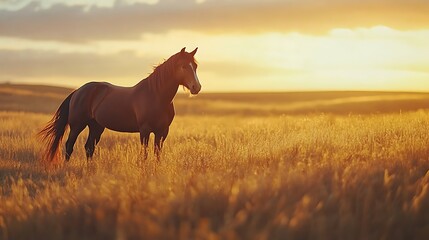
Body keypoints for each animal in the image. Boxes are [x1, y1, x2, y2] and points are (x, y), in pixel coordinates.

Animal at [40, 47, 201, 162]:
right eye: (183, 66)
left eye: (195, 66)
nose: (196, 87)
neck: (156, 96)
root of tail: (78, 91)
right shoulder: (145, 130)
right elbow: (144, 155)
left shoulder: (162, 131)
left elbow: (157, 155)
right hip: (77, 125)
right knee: (69, 146)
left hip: (96, 126)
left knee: (89, 148)